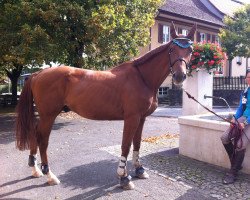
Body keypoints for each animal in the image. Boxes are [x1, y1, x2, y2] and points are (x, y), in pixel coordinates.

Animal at [15, 23, 196, 189]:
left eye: (190, 50)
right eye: (171, 49)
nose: (179, 76)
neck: (142, 78)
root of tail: (38, 74)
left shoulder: (142, 118)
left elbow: (137, 143)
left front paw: (139, 170)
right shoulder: (132, 118)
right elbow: (126, 145)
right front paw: (124, 177)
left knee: (34, 133)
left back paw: (35, 169)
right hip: (49, 115)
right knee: (43, 139)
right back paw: (49, 175)